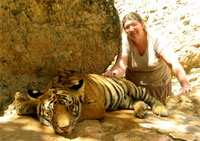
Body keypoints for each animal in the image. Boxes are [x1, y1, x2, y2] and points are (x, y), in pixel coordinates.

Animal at [14, 70, 169, 134]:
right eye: (51, 111)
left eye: (69, 107)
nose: (64, 128)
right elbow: (34, 102)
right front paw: (22, 106)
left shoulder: (97, 105)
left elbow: (82, 111)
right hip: (126, 101)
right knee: (137, 102)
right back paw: (141, 110)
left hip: (134, 88)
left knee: (151, 98)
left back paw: (161, 109)